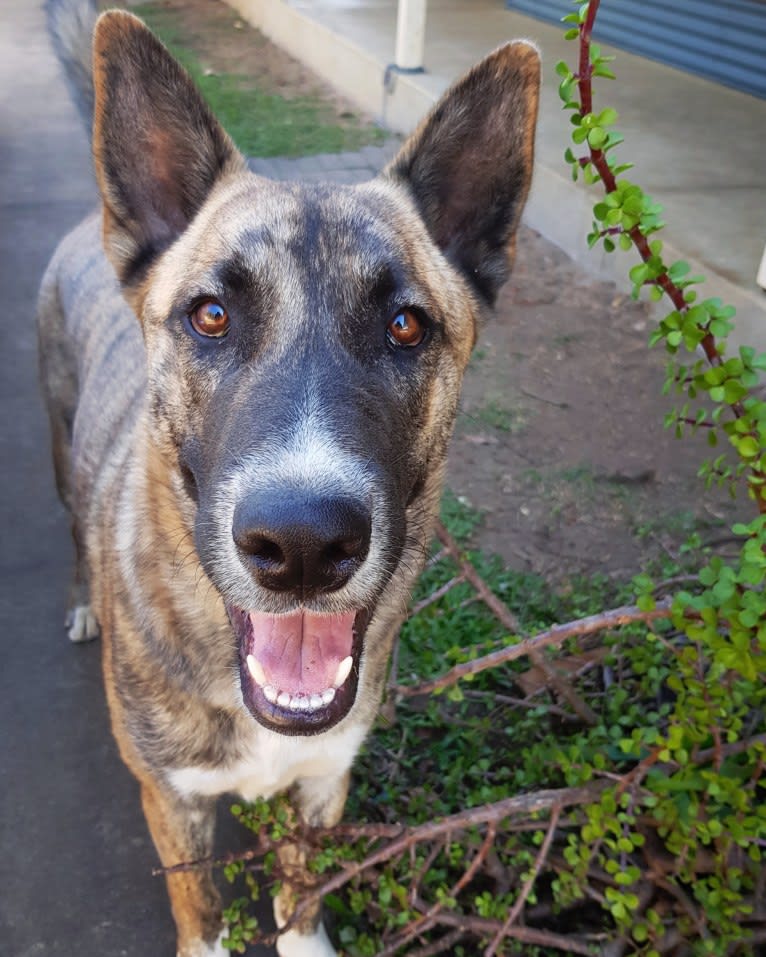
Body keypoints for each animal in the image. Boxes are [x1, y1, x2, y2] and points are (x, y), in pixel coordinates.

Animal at [37, 1, 540, 956]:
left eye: (407, 324)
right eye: (210, 314)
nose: (304, 544)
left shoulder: (324, 780)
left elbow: (303, 887)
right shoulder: (173, 801)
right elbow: (201, 910)